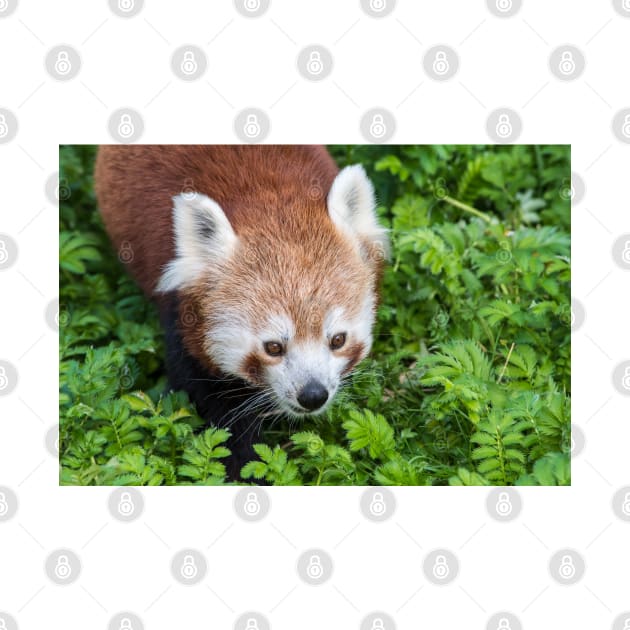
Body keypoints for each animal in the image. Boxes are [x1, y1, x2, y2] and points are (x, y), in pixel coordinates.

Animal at [94, 147, 390, 484]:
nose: (313, 394)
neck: (267, 199)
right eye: (273, 347)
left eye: (338, 340)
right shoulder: (183, 321)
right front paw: (243, 469)